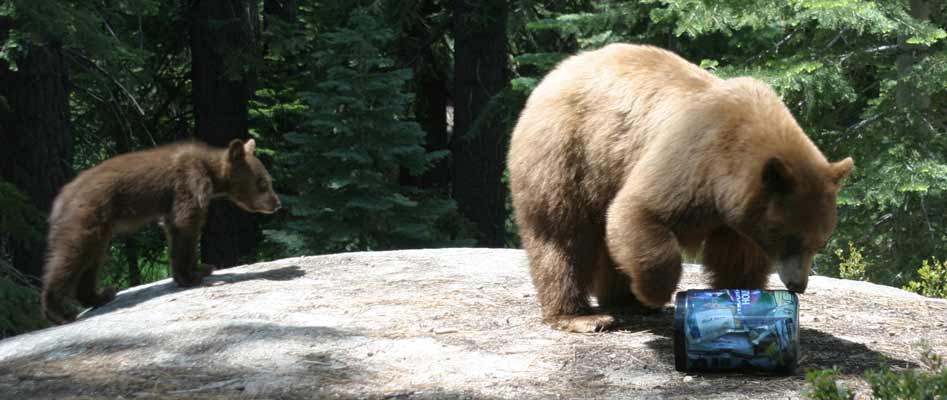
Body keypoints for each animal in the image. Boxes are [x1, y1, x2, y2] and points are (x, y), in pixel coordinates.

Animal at [41, 138, 281, 325]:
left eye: (269, 181)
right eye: (262, 183)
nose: (276, 203)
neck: (211, 171)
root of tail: (59, 201)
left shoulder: (172, 204)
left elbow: (176, 230)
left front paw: (200, 269)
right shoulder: (188, 183)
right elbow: (186, 224)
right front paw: (192, 275)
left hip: (101, 229)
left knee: (92, 260)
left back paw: (101, 295)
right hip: (86, 219)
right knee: (71, 256)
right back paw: (59, 312)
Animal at [507, 44, 854, 333]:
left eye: (820, 242)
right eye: (791, 238)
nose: (798, 284)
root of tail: (554, 74)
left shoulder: (737, 217)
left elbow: (738, 259)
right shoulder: (693, 161)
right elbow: (639, 211)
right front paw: (654, 292)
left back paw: (622, 299)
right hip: (568, 155)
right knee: (561, 236)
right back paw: (582, 316)